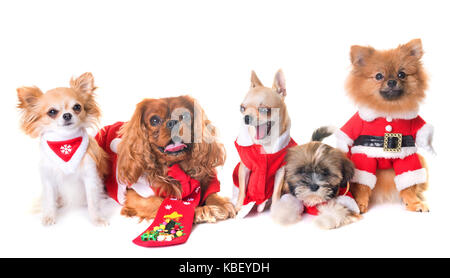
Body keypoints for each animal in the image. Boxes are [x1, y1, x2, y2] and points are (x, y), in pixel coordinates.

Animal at [17, 73, 110, 226]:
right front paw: (49, 216)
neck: (65, 141)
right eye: (52, 112)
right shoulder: (48, 178)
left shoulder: (90, 176)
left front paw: (97, 219)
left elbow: (93, 201)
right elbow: (49, 199)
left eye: (77, 107)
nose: (67, 115)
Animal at [232, 69, 296, 217]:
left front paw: (276, 208)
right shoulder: (244, 168)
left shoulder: (280, 170)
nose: (246, 118)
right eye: (242, 108)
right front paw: (238, 207)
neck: (265, 145)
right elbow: (242, 190)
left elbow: (276, 192)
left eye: (265, 110)